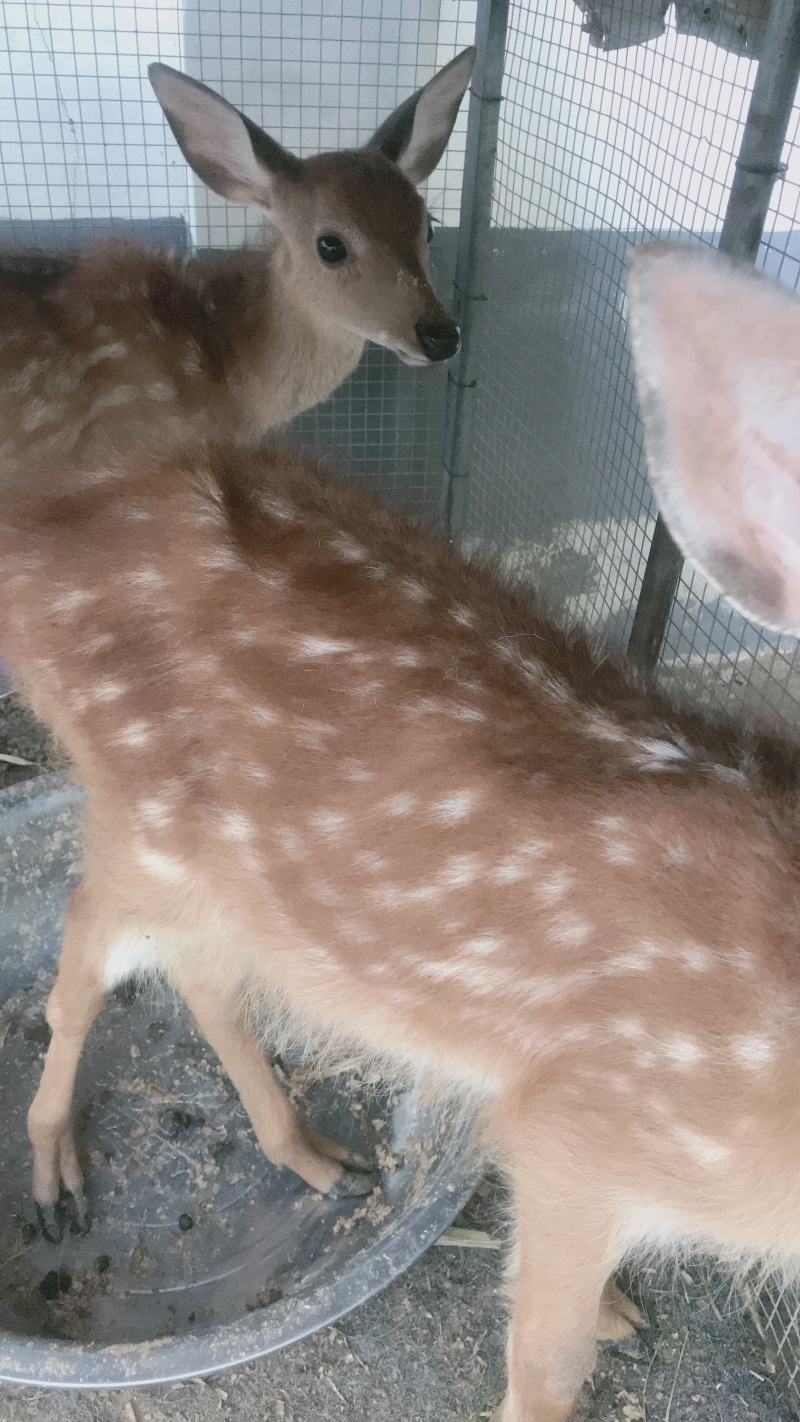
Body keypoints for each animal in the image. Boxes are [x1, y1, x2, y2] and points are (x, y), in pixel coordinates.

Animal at [3, 239, 800, 1421]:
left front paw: (613, 1303)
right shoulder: (587, 1131)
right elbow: (546, 1368)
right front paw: (595, 1326)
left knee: (199, 970)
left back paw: (315, 1155)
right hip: (143, 811)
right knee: (86, 929)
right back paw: (55, 1165)